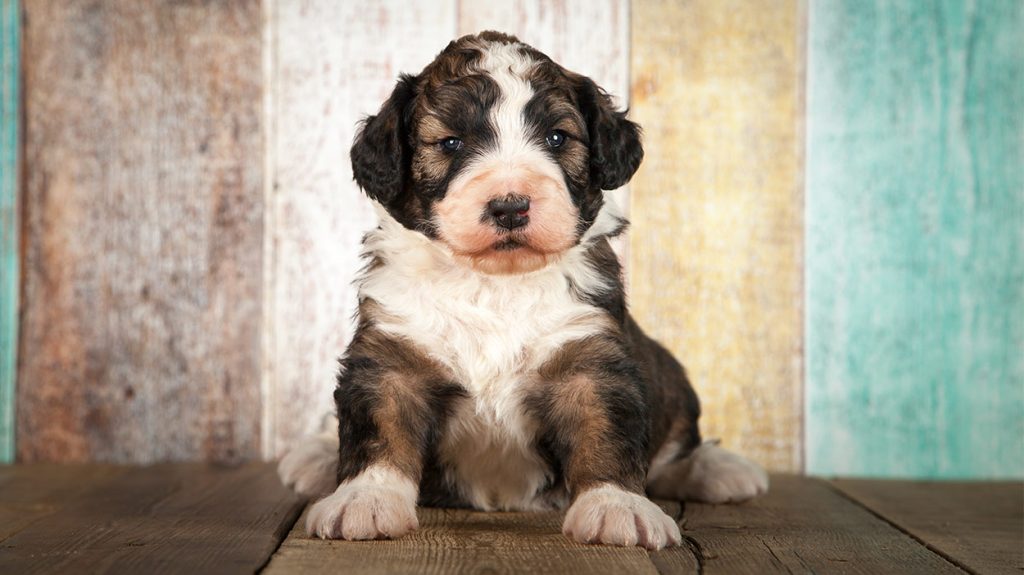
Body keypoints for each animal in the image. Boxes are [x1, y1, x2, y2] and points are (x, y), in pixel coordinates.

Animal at [276, 30, 765, 544]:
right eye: (451, 143)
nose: (510, 207)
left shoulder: (588, 357)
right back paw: (315, 458)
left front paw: (617, 506)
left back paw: (720, 469)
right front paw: (364, 499)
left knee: (676, 447)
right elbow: (379, 427)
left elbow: (605, 429)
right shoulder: (393, 354)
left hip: (670, 374)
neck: (495, 284)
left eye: (557, 137)